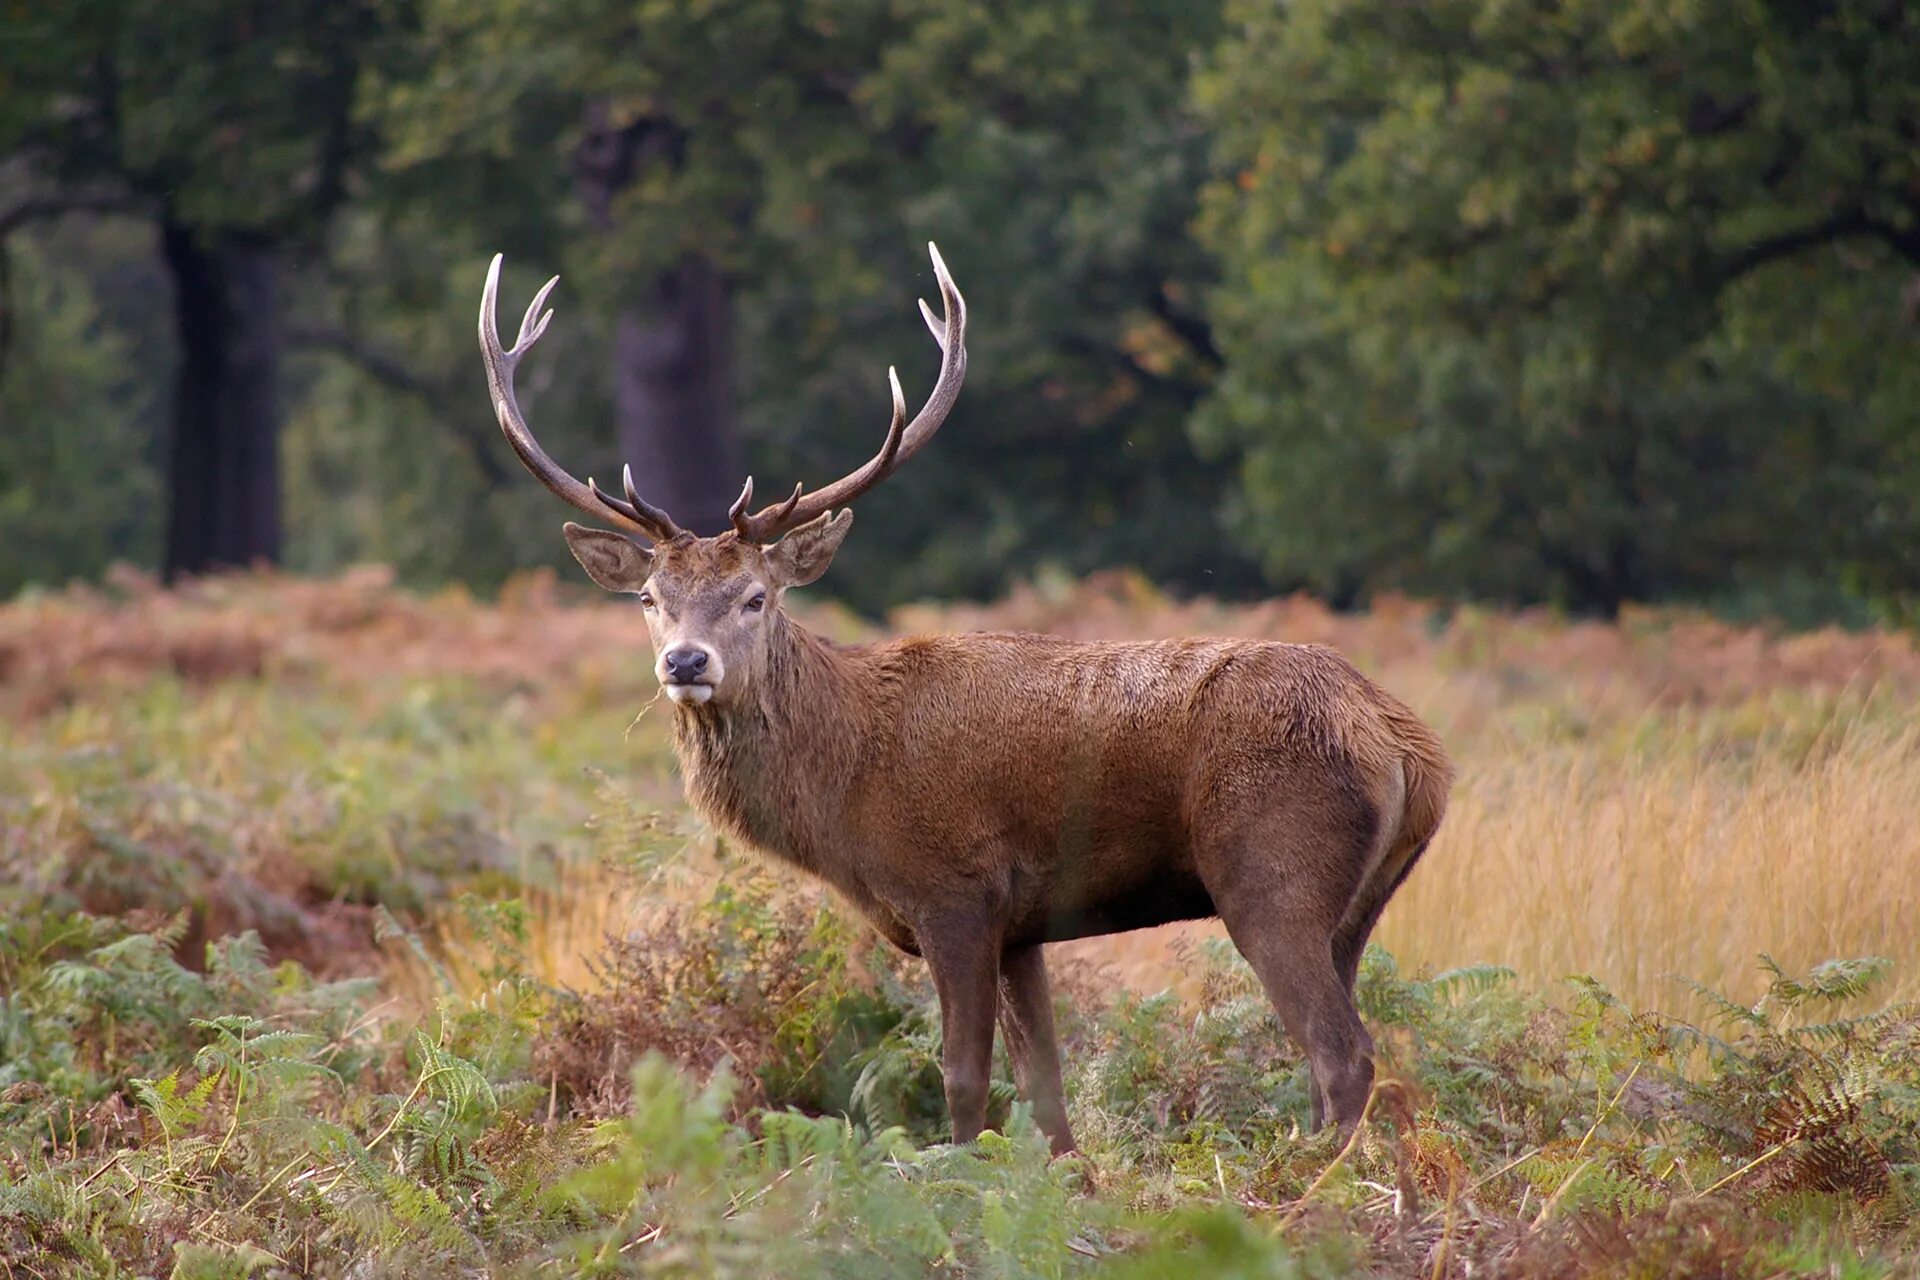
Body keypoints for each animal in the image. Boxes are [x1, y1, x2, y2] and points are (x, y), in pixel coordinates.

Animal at [483, 245, 1451, 1159]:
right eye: (650, 597)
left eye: (757, 596)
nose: (685, 661)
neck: (846, 790)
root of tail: (1408, 749)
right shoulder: (1022, 927)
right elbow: (1047, 1093)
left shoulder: (954, 894)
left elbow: (962, 1080)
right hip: (1360, 903)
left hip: (1271, 871)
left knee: (1341, 1053)